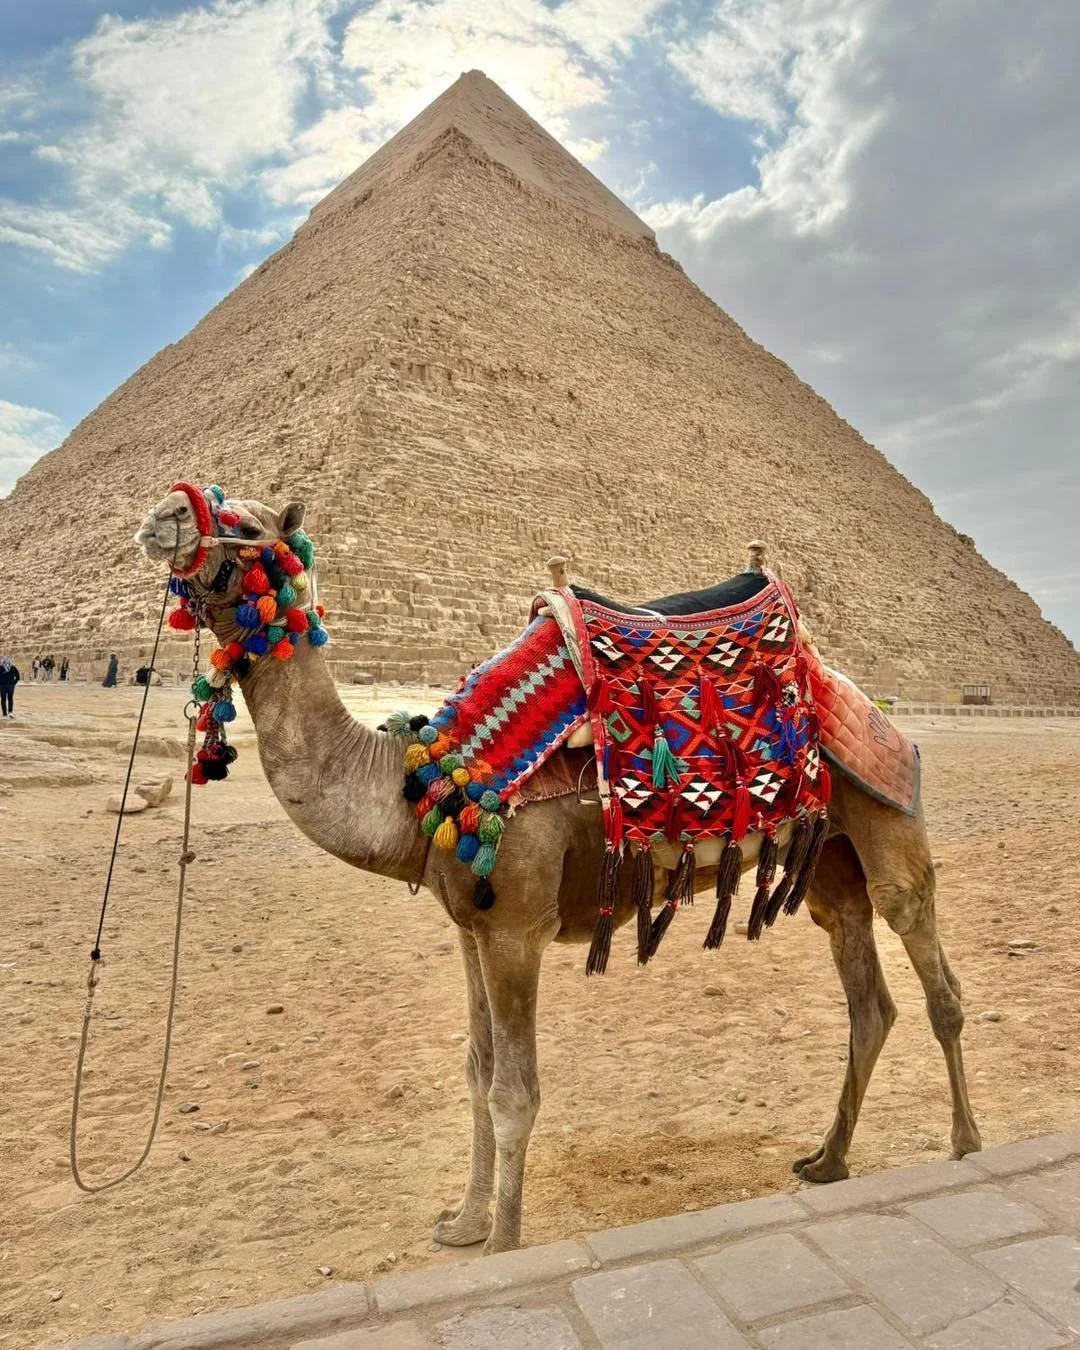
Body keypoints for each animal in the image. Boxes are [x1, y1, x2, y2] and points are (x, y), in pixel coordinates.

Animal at [135, 489, 981, 1255]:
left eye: (247, 527)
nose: (161, 516)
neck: (419, 786)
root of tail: (859, 697)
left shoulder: (516, 929)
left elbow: (515, 1091)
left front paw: (504, 1246)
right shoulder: (470, 929)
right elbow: (476, 1071)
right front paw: (462, 1224)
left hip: (887, 817)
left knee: (936, 979)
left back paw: (966, 1144)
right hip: (828, 856)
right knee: (868, 998)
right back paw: (827, 1160)